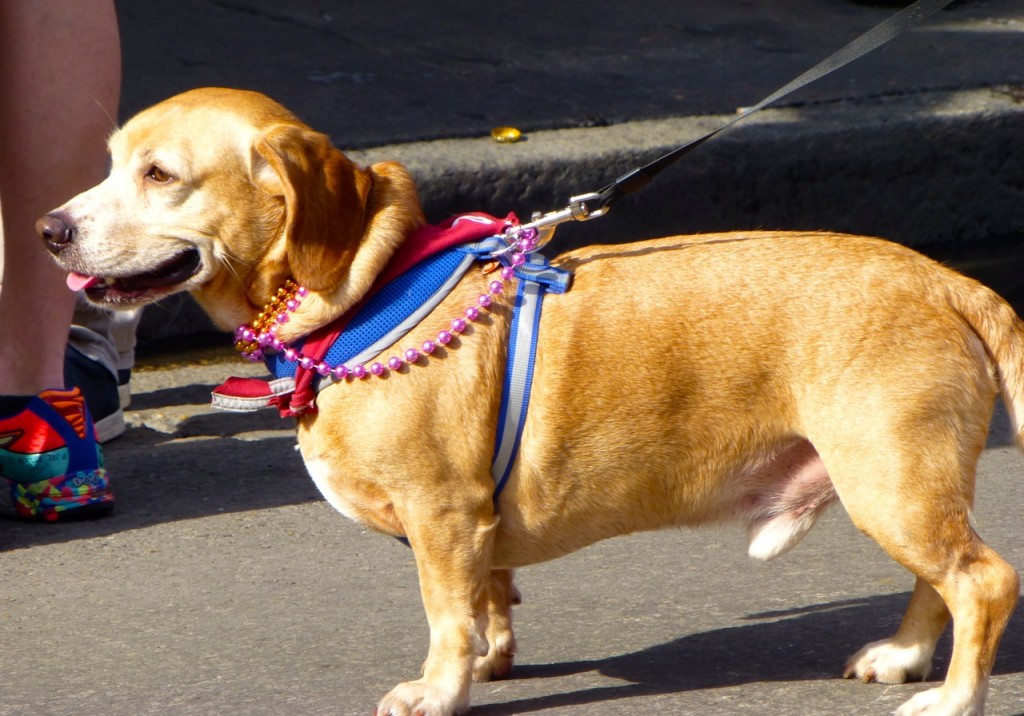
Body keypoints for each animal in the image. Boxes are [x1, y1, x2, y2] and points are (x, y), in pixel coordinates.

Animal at [37, 89, 1015, 716]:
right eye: (113, 164)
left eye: (161, 175)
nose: (48, 229)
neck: (362, 288)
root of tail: (946, 279)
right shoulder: (475, 530)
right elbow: (487, 600)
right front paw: (491, 655)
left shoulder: (442, 515)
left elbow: (444, 615)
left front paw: (441, 689)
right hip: (903, 489)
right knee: (941, 579)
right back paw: (903, 656)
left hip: (889, 479)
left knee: (983, 581)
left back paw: (953, 697)